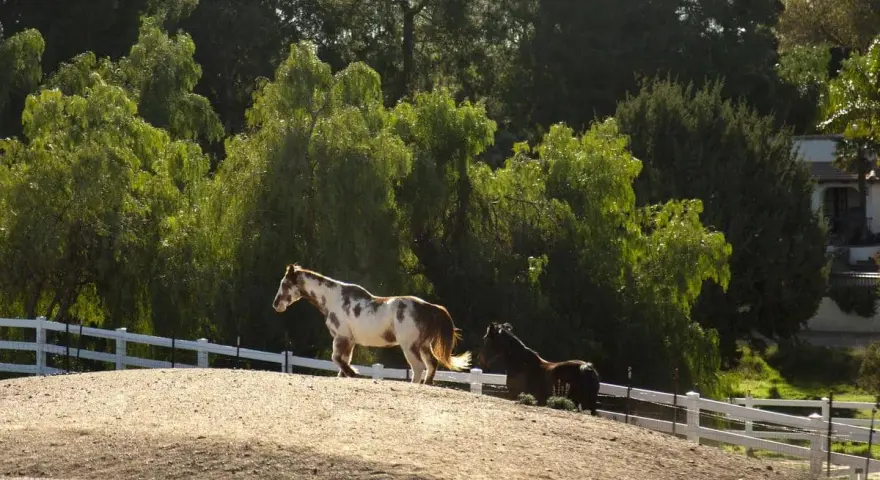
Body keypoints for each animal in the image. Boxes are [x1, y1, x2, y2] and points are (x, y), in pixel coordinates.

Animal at [272, 264, 472, 385]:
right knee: (431, 364)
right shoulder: (349, 341)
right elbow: (343, 361)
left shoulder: (341, 337)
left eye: (284, 284)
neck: (334, 299)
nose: (276, 304)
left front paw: (354, 373)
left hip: (410, 346)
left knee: (418, 367)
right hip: (423, 345)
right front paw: (347, 374)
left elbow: (337, 359)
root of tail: (429, 308)